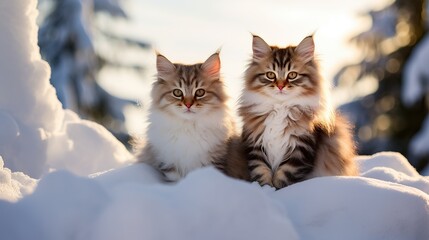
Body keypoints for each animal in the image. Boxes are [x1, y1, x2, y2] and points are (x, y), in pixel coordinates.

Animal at [136, 52, 236, 182]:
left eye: (200, 92)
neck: (189, 127)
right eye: (177, 92)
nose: (188, 104)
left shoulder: (214, 161)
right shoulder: (168, 162)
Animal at [239, 35, 356, 189]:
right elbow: (261, 171)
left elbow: (284, 176)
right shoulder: (256, 145)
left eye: (292, 75)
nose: (280, 86)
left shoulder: (301, 148)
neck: (280, 108)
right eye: (270, 75)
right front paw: (265, 188)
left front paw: (277, 190)